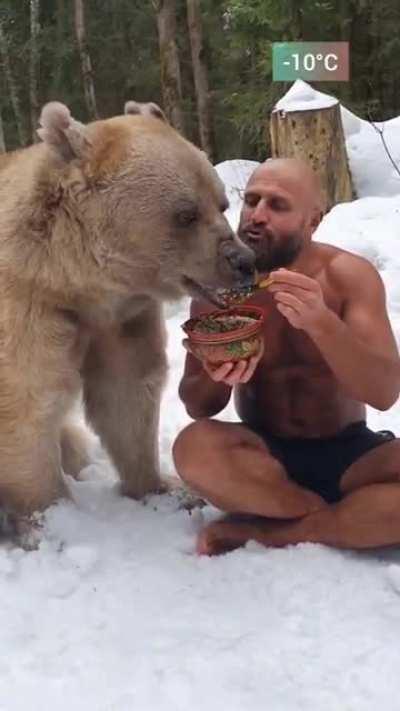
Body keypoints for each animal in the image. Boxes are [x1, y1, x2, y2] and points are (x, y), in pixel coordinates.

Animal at [0, 100, 255, 538]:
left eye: (221, 203)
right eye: (185, 214)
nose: (242, 261)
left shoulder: (121, 319)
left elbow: (128, 392)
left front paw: (166, 489)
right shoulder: (30, 308)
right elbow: (27, 402)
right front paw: (51, 524)